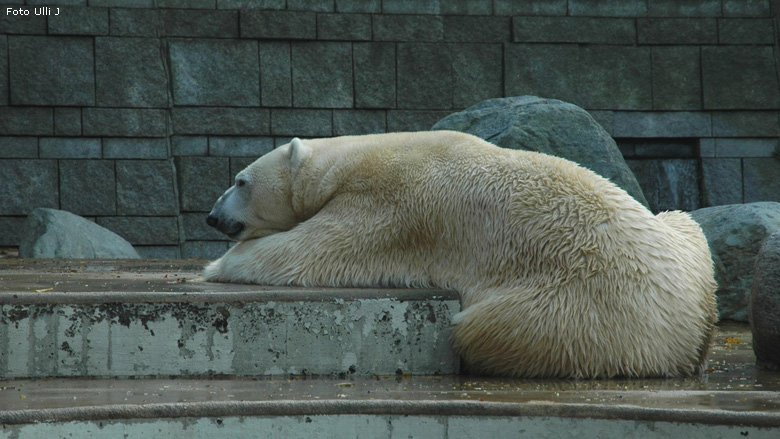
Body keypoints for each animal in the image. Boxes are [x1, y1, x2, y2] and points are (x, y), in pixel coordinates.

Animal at [203, 130, 720, 378]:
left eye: (240, 181)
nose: (211, 216)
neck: (353, 159)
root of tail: (689, 335)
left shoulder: (388, 208)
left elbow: (313, 251)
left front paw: (217, 265)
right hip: (686, 243)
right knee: (685, 219)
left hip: (577, 307)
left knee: (483, 327)